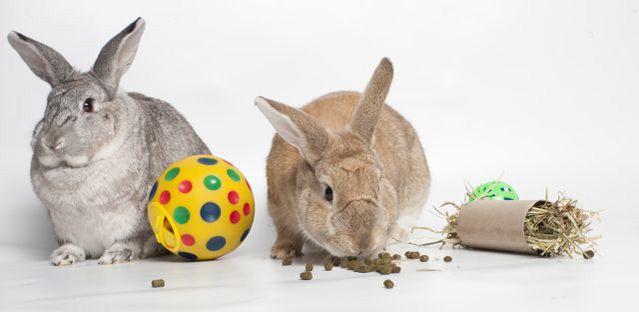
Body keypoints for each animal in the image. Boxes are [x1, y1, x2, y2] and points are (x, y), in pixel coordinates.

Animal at [8, 17, 210, 266]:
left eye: (88, 105)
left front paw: (115, 256)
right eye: (48, 105)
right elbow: (72, 245)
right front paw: (63, 257)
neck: (75, 168)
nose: (52, 142)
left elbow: (133, 241)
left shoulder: (137, 224)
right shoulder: (64, 228)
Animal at [255, 58, 430, 258]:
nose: (363, 245)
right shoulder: (277, 208)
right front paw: (282, 252)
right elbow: (286, 231)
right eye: (328, 193)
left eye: (379, 187)